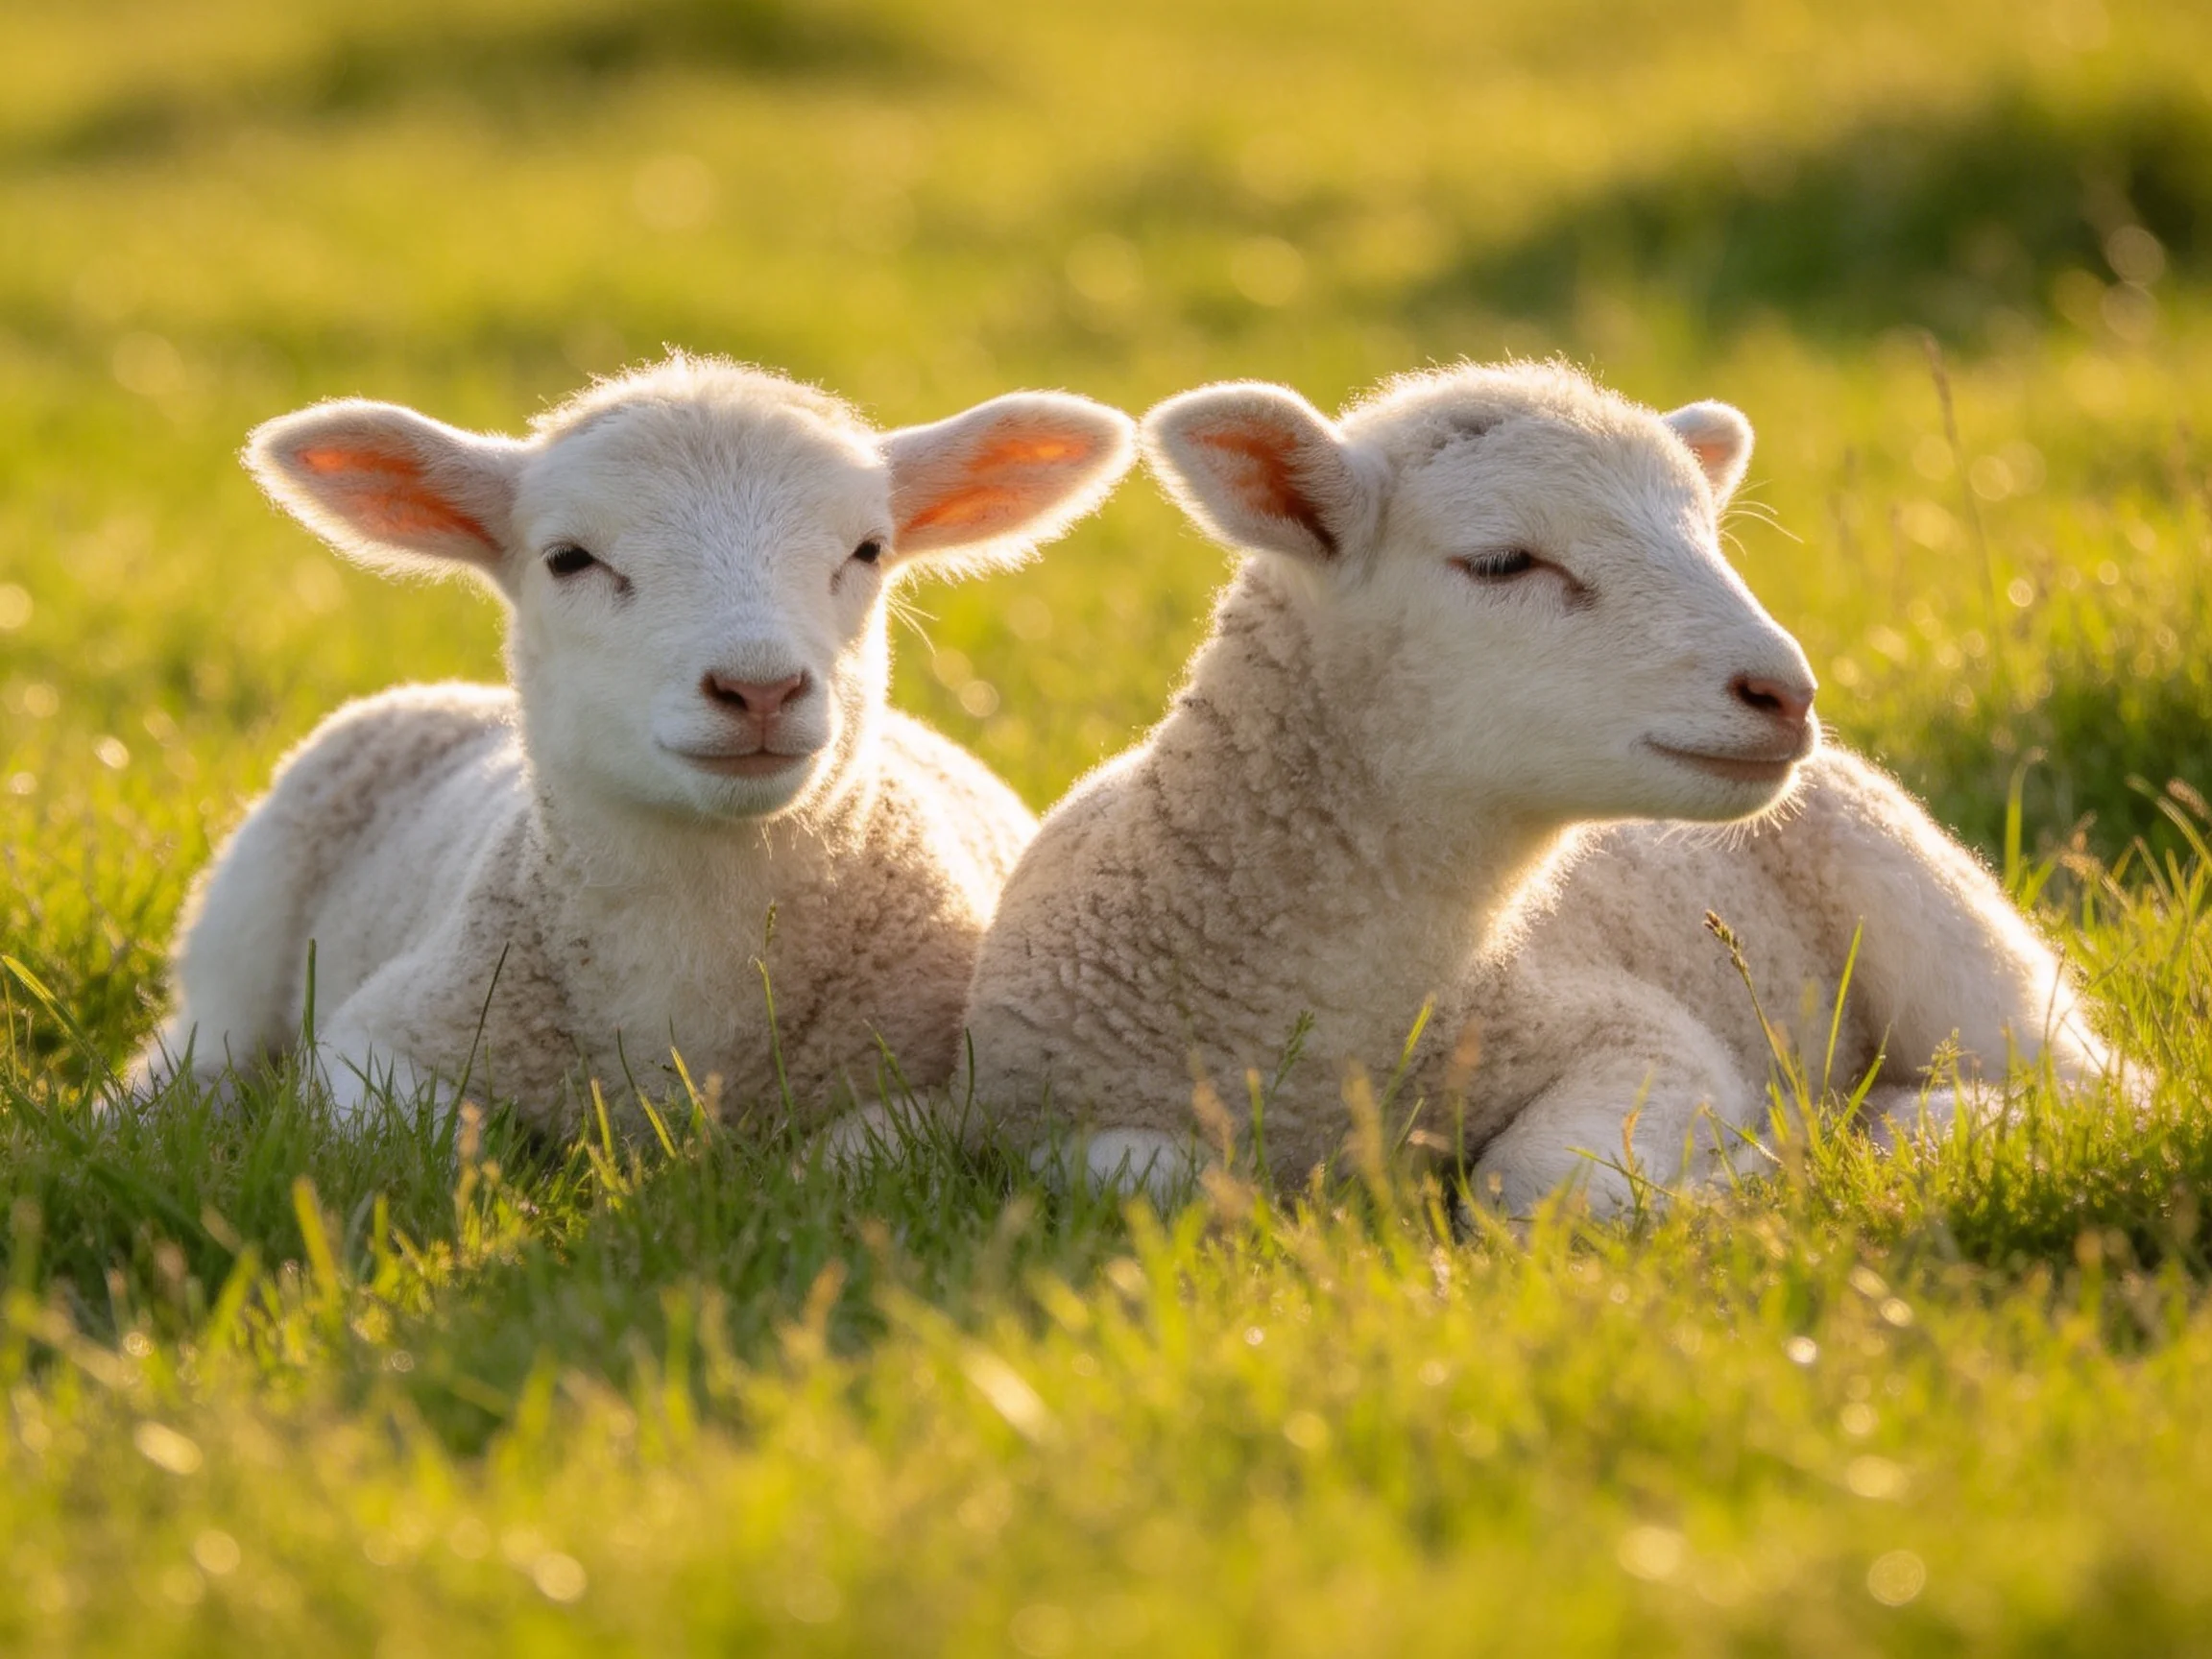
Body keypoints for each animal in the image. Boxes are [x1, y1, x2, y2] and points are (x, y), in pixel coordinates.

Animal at [126, 354, 1136, 1137]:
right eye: (569, 559)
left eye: (868, 550)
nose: (759, 688)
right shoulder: (387, 1038)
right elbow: (406, 1140)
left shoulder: (928, 1075)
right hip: (244, 924)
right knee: (201, 1044)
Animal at [962, 360, 2111, 1209]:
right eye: (1504, 562)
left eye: (1708, 536)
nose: (1784, 693)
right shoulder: (1037, 1112)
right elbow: (1145, 1178)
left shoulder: (1640, 1034)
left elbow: (1535, 1186)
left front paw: (1759, 1162)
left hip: (1933, 918)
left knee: (2088, 1087)